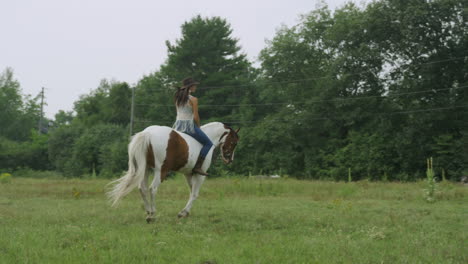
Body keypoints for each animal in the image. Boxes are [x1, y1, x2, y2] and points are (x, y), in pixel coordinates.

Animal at [107, 121, 239, 223]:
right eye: (234, 142)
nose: (230, 159)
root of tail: (148, 133)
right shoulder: (200, 175)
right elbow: (195, 194)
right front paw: (183, 212)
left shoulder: (188, 174)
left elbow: (191, 191)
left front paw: (186, 212)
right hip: (161, 171)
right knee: (152, 189)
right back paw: (152, 214)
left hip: (145, 169)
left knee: (142, 188)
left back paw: (148, 211)